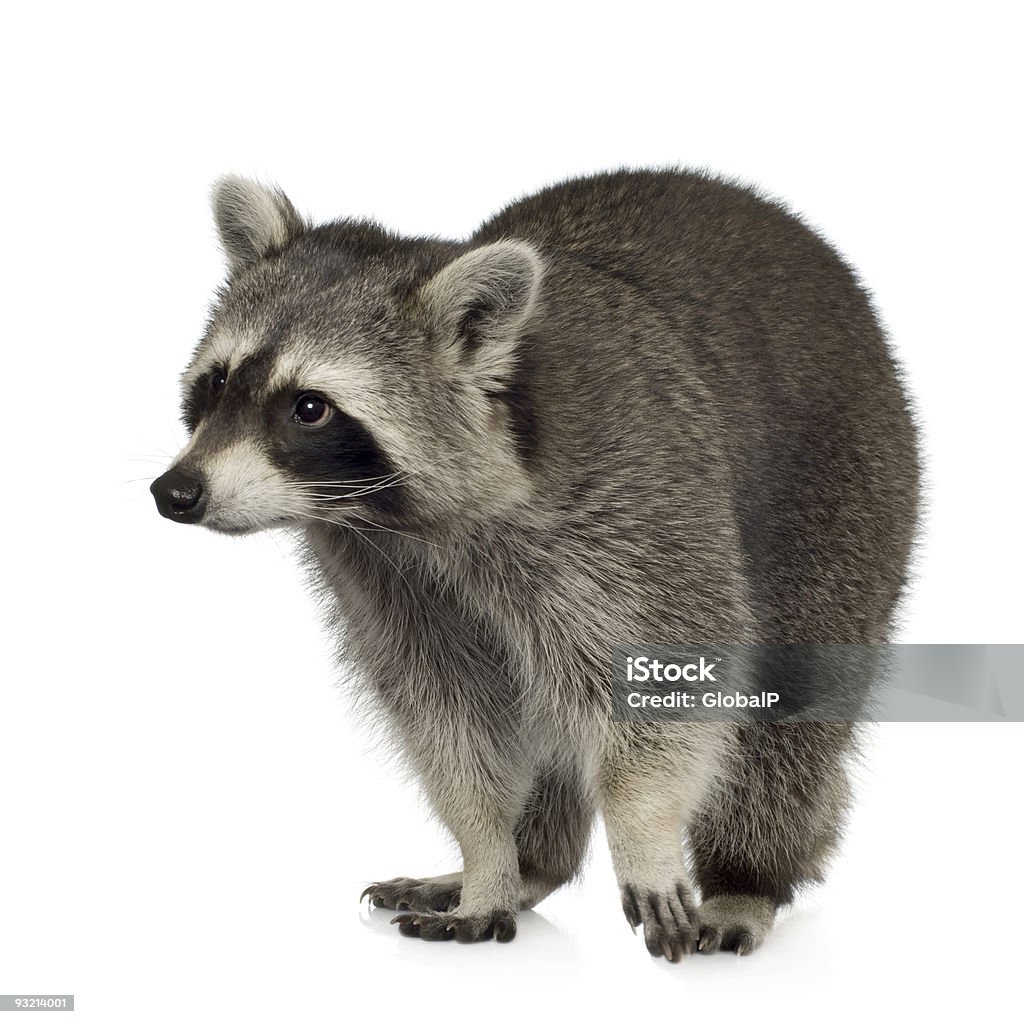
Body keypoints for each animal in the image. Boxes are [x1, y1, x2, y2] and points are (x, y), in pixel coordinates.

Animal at [149, 169, 921, 958]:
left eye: (309, 408)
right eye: (218, 383)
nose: (176, 492)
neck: (410, 522)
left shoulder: (638, 506)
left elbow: (673, 682)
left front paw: (644, 830)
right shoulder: (384, 574)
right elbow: (446, 712)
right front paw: (488, 855)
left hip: (847, 487)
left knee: (788, 714)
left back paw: (747, 878)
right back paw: (533, 864)